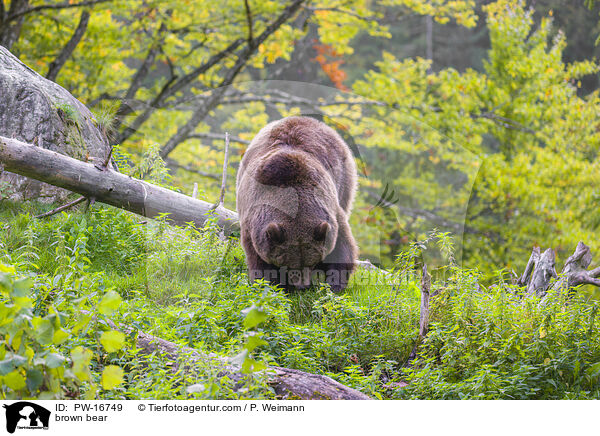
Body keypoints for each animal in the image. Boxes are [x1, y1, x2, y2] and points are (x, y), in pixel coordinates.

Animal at [234, 116, 356, 292]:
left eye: (312, 262)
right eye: (287, 264)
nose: (302, 286)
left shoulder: (331, 210)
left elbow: (342, 247)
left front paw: (334, 285)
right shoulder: (252, 224)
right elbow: (259, 262)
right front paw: (274, 286)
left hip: (344, 179)